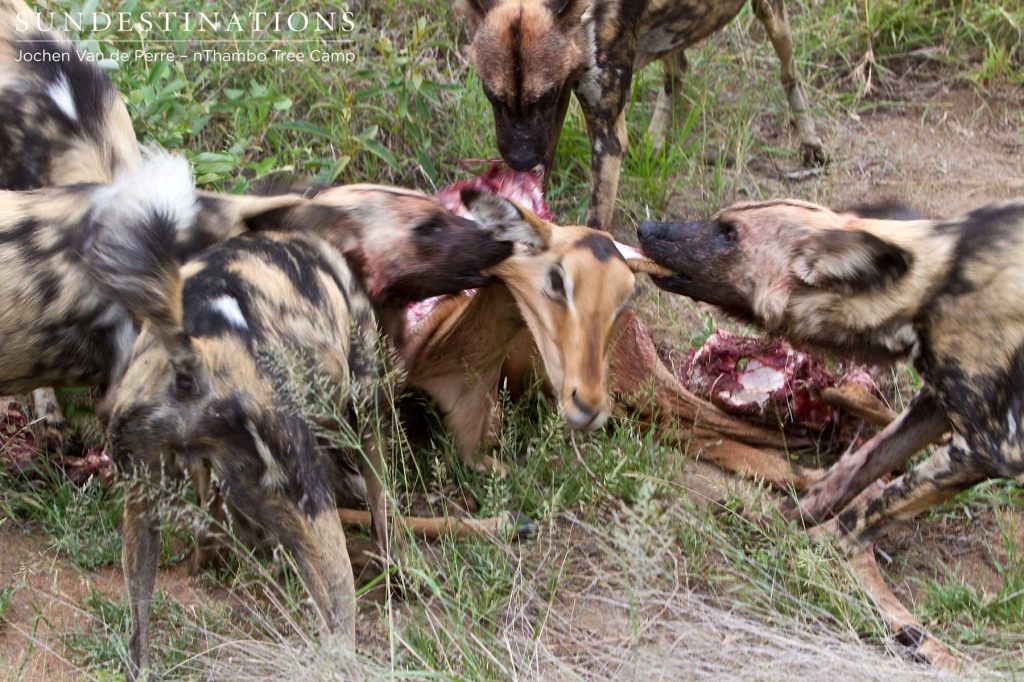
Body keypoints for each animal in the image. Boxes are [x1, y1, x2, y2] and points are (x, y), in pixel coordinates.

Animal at [460, 0, 827, 231]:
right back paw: (655, 140)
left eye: (543, 96)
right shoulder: (556, 105)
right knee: (678, 69)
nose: (520, 159)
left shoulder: (604, 136)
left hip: (772, 18)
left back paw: (810, 142)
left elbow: (596, 223)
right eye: (491, 95)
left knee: (789, 71)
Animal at [638, 197, 1024, 663]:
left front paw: (814, 551)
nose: (645, 228)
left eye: (729, 234)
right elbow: (848, 476)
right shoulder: (934, 409)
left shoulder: (988, 447)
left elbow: (866, 510)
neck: (931, 287)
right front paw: (778, 523)